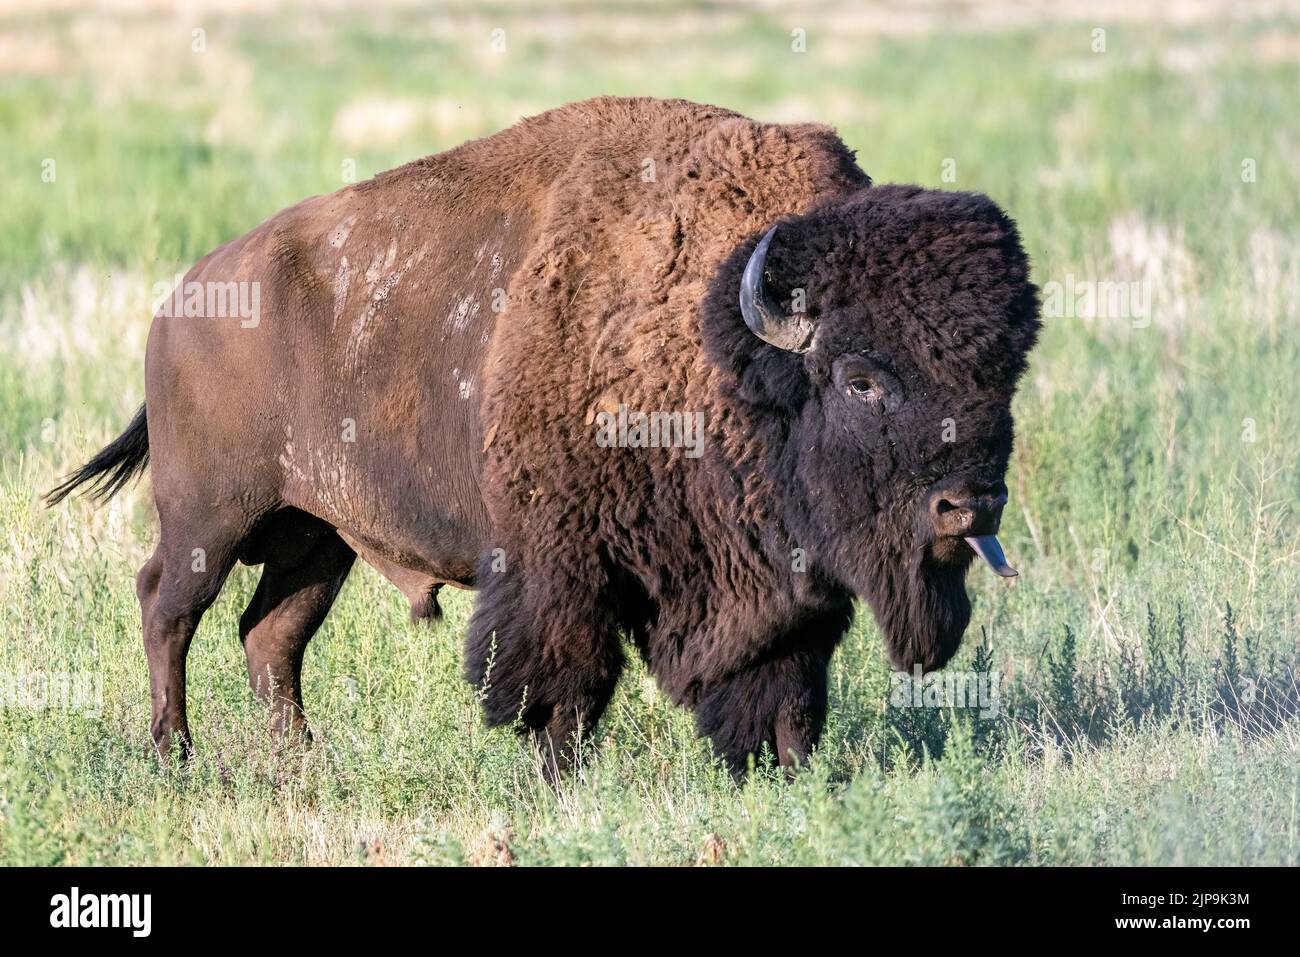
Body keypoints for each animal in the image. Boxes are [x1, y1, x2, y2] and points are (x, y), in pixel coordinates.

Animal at [48, 96, 1039, 774]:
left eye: (1005, 371)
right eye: (860, 377)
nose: (970, 503)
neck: (718, 335)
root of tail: (183, 299)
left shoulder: (780, 589)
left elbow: (785, 682)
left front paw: (787, 775)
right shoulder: (558, 566)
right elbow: (559, 681)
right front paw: (556, 778)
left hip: (317, 538)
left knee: (270, 636)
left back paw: (300, 757)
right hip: (210, 518)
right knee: (167, 607)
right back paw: (173, 753)